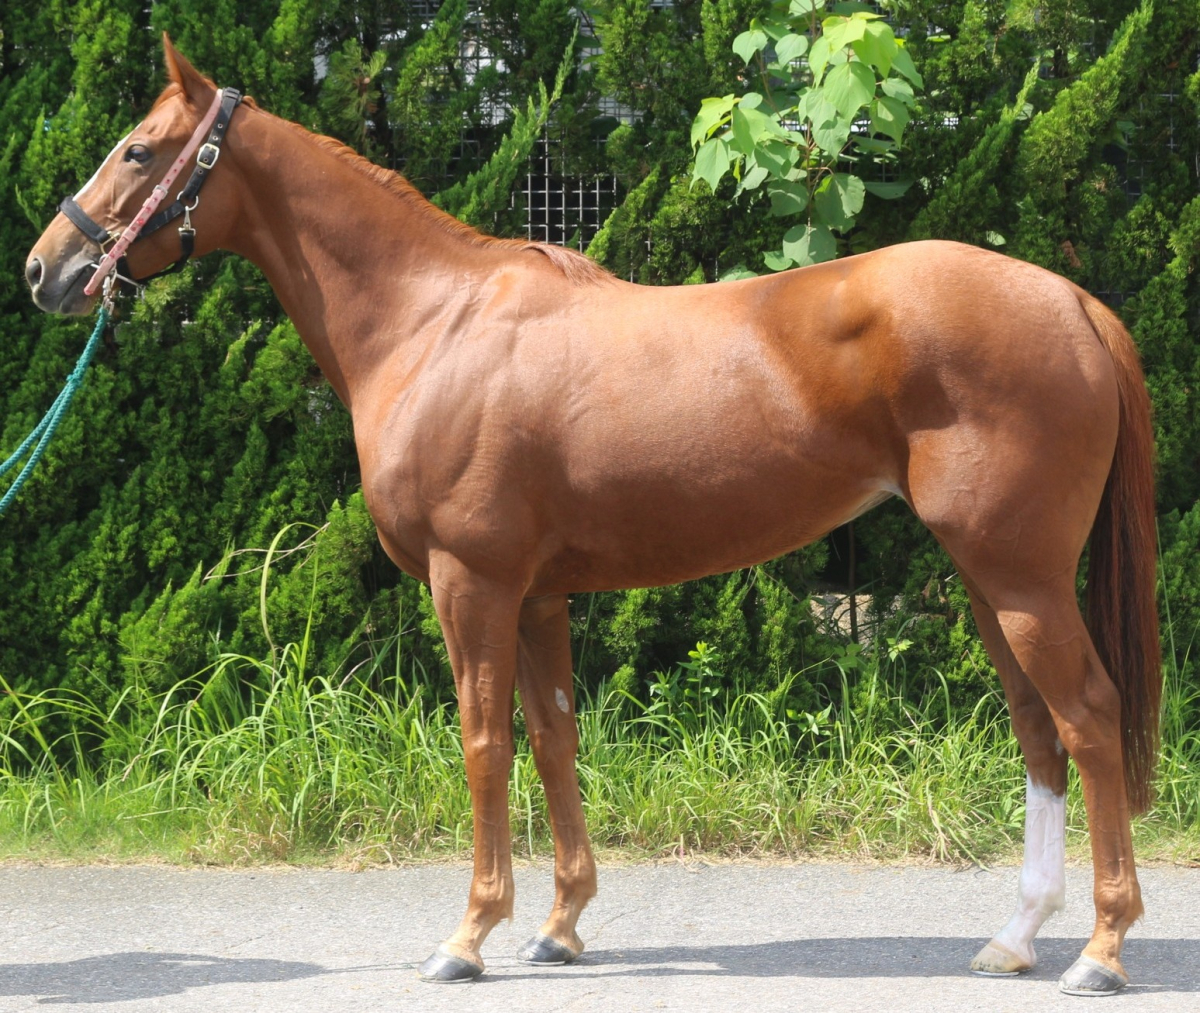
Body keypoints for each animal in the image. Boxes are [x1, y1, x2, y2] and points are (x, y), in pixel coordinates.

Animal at [25, 36, 1160, 996]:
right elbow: (555, 736)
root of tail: (1072, 303)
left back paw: (1100, 950)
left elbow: (485, 741)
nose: (46, 271)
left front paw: (468, 935)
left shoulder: (472, 582)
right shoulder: (537, 596)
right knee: (1038, 729)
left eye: (138, 149)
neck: (432, 322)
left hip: (1018, 577)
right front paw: (560, 926)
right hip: (989, 579)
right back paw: (1016, 936)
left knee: (1089, 717)